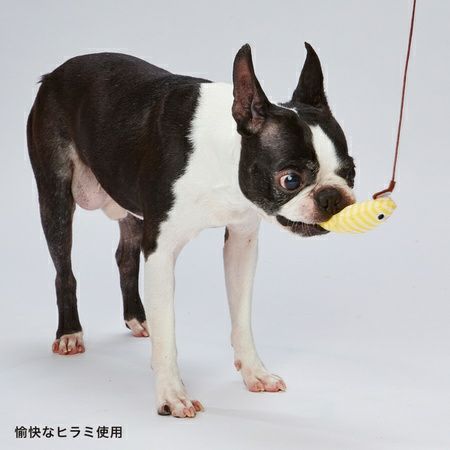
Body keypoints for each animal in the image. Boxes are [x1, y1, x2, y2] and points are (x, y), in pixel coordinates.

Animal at [27, 43, 355, 418]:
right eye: (290, 180)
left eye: (351, 172)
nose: (332, 197)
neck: (225, 156)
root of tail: (53, 74)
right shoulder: (162, 250)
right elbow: (168, 333)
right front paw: (171, 395)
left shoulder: (241, 242)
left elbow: (241, 317)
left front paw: (254, 372)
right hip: (55, 196)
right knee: (64, 270)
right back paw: (69, 332)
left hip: (130, 204)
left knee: (125, 256)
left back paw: (139, 318)